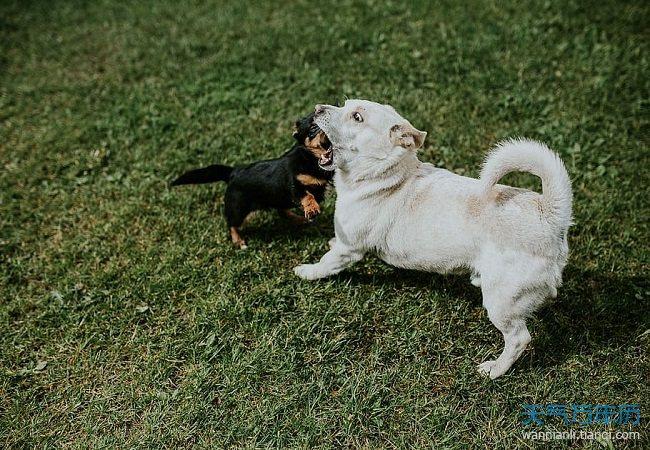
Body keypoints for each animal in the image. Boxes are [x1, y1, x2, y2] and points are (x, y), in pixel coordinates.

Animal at [171, 113, 332, 250]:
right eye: (312, 128)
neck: (311, 159)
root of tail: (233, 172)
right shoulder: (294, 184)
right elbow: (307, 195)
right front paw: (312, 208)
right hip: (238, 209)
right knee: (232, 224)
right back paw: (238, 241)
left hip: (277, 198)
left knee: (282, 212)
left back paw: (298, 219)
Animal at [294, 100, 572, 378]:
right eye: (345, 104)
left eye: (357, 117)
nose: (317, 108)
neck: (384, 175)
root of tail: (548, 213)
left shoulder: (349, 248)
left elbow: (327, 263)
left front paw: (307, 271)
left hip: (501, 300)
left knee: (518, 338)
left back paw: (495, 369)